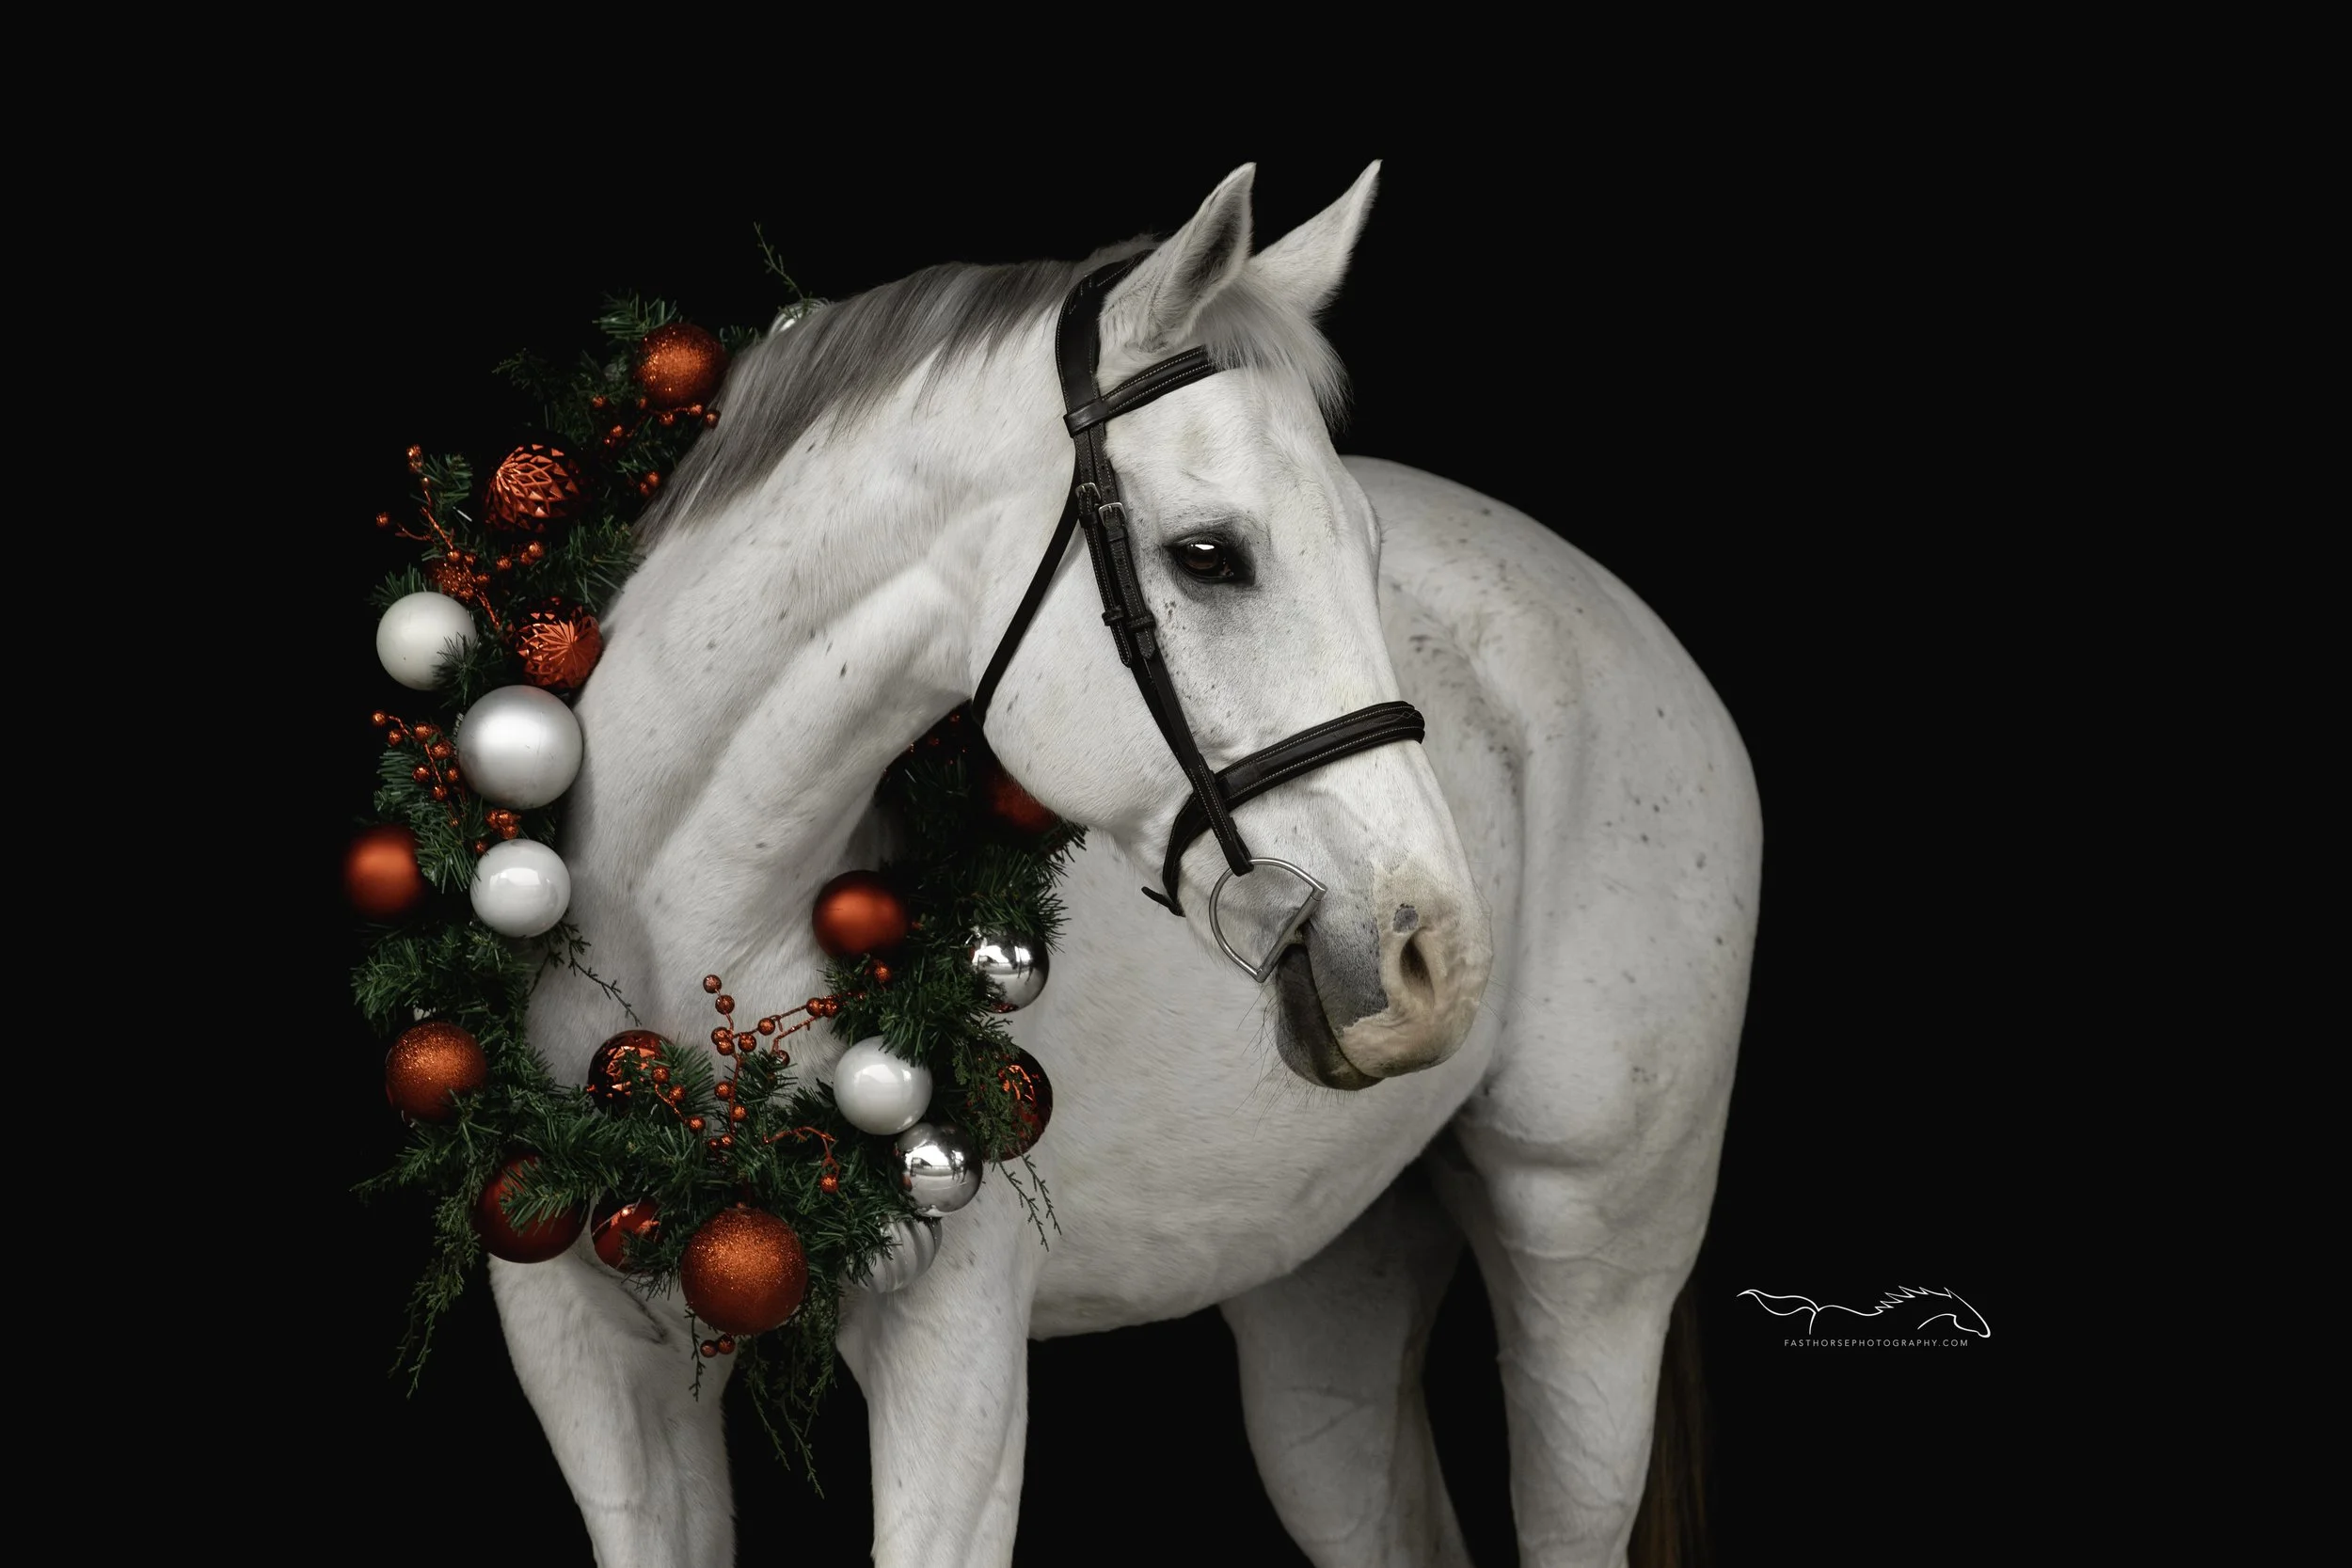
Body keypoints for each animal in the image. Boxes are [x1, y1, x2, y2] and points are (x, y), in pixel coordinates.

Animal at [482, 160, 1761, 1567]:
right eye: (1208, 554)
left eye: (1368, 552)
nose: (1435, 956)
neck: (680, 934)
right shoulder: (585, 1361)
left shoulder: (960, 1360)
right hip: (1323, 1289)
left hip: (1593, 1266)